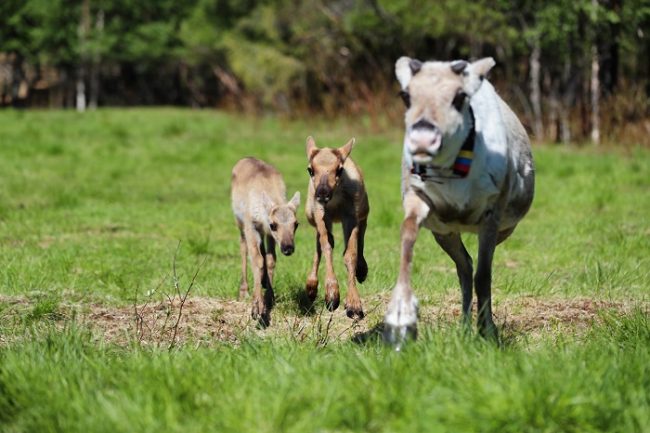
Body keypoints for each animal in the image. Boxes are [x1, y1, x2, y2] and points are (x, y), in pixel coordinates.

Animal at [230, 157, 298, 326]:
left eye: (296, 224)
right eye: (273, 224)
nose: (288, 247)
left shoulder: (268, 234)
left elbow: (270, 259)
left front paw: (269, 297)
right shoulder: (251, 225)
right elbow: (257, 260)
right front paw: (257, 309)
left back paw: (264, 281)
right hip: (239, 221)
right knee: (243, 247)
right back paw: (244, 291)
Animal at [306, 137, 370, 318]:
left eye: (339, 169)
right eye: (310, 169)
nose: (322, 192)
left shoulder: (352, 215)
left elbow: (350, 254)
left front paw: (354, 305)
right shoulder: (320, 212)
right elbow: (326, 244)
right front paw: (332, 296)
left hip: (364, 210)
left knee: (362, 234)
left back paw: (362, 271)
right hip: (310, 213)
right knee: (321, 242)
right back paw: (311, 287)